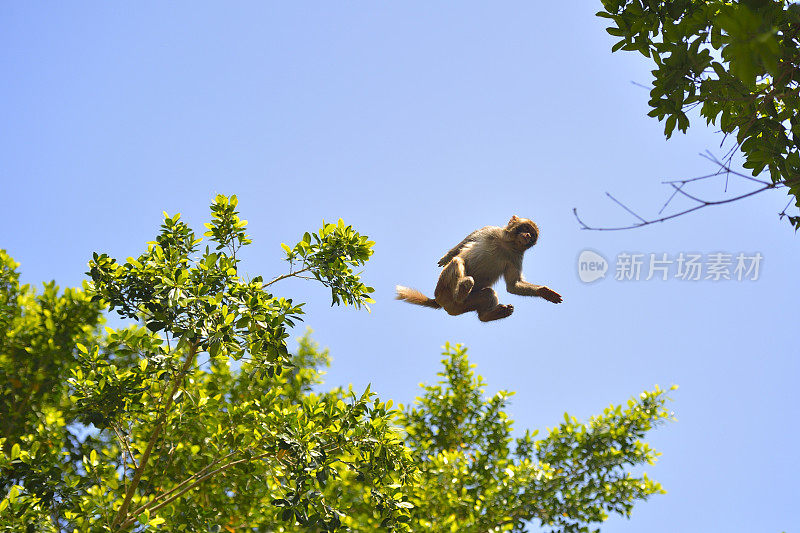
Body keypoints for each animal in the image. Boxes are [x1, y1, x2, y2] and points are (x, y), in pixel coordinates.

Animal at [396, 215, 564, 320]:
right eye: (525, 228)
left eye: (532, 234)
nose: (528, 236)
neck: (507, 245)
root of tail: (439, 301)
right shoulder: (490, 230)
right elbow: (467, 241)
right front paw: (446, 257)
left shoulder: (516, 257)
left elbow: (513, 285)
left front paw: (543, 291)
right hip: (443, 290)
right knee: (457, 261)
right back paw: (462, 290)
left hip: (463, 305)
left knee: (488, 293)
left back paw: (486, 315)